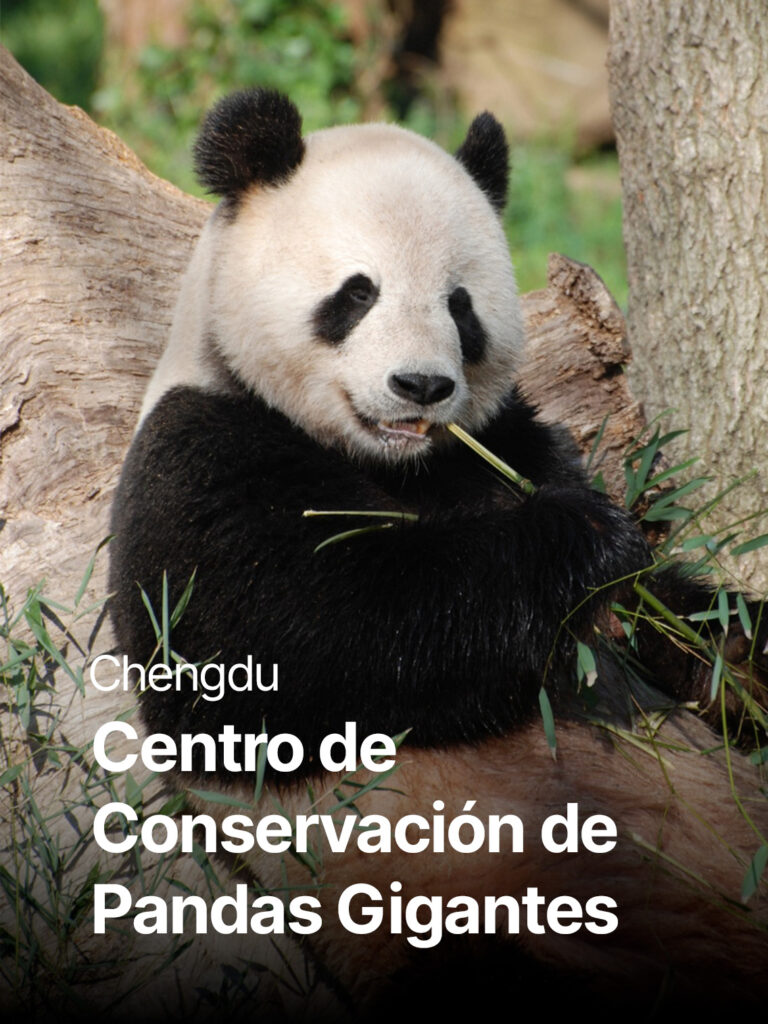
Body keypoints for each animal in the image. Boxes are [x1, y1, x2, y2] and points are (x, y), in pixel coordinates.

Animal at [109, 89, 768, 1017]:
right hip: (483, 928)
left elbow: (673, 626)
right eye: (357, 292)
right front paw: (583, 537)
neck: (396, 464)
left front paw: (704, 632)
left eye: (460, 305)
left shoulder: (506, 445)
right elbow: (314, 638)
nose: (420, 386)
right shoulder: (198, 462)